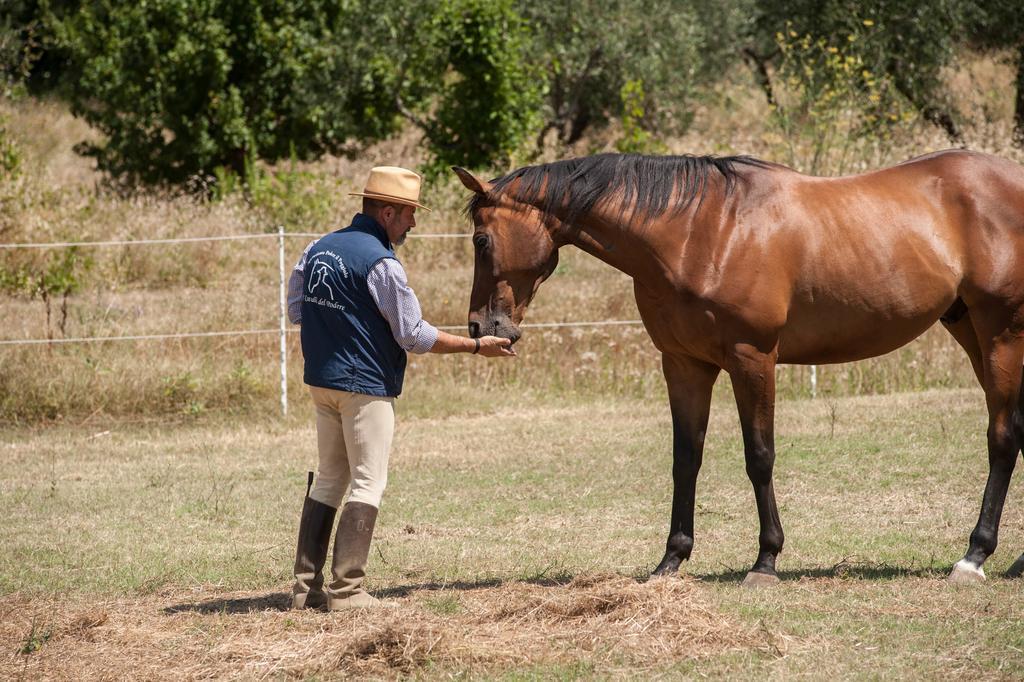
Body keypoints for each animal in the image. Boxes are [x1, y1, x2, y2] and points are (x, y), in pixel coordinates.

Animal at [454, 150, 1024, 585]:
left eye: (481, 241)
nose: (483, 327)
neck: (698, 232)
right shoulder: (684, 365)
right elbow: (686, 458)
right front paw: (671, 560)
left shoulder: (753, 359)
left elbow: (759, 457)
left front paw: (766, 561)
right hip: (968, 329)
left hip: (1002, 334)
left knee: (1002, 437)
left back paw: (973, 557)